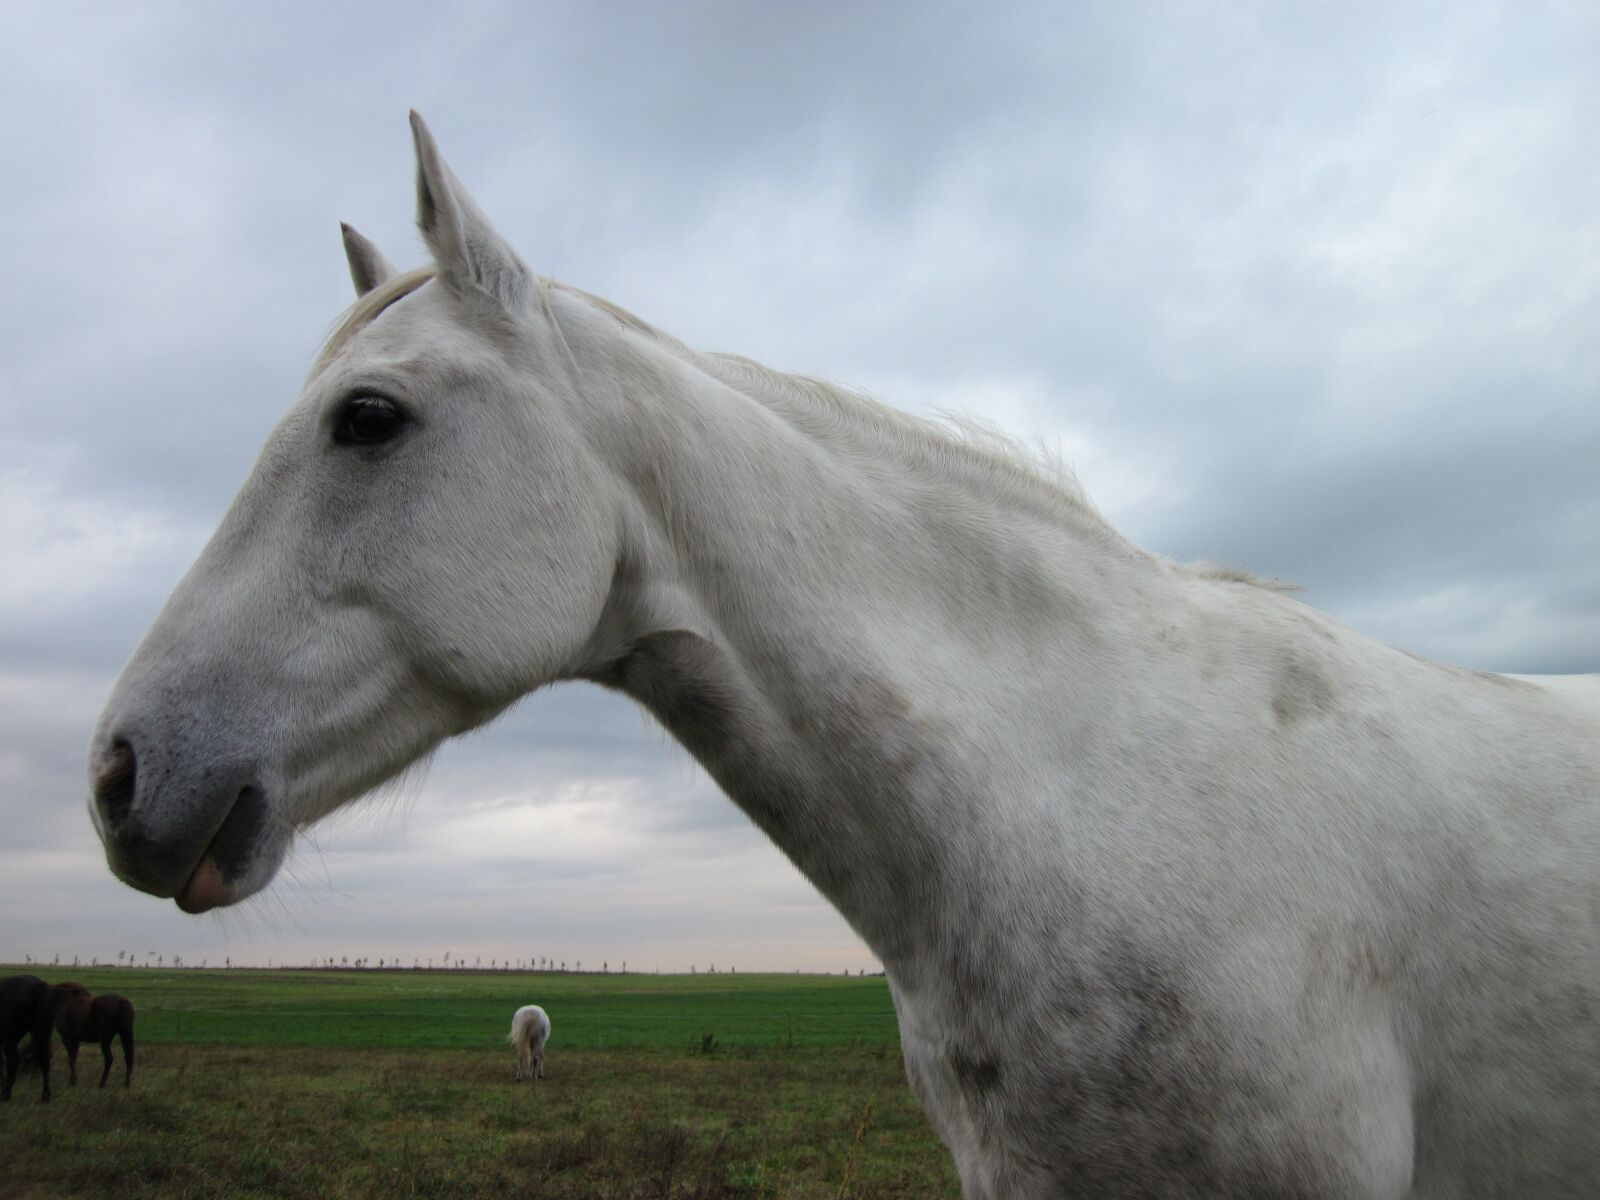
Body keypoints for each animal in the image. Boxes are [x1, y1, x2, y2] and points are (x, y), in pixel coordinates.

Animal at [1, 972, 57, 1107]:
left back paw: (6, 1095)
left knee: (13, 1063)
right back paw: (45, 1096)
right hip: (42, 1034)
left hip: (11, 1038)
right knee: (45, 1061)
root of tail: (38, 985)